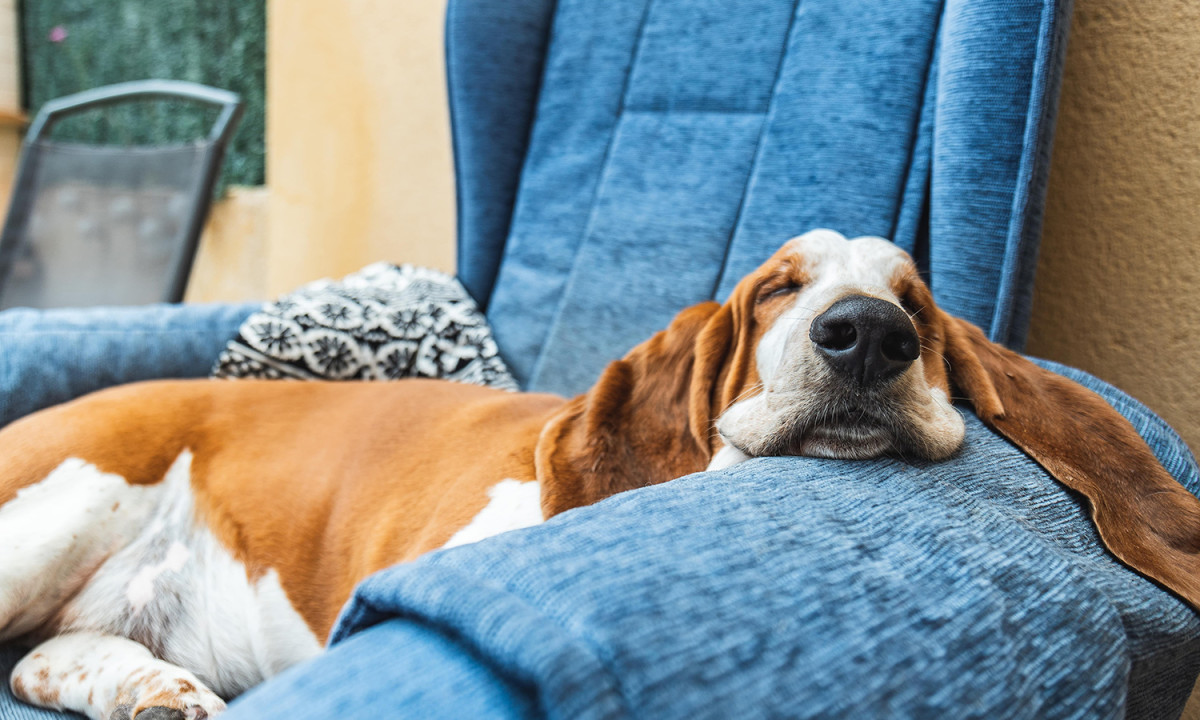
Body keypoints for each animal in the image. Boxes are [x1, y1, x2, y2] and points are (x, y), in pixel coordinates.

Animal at [2, 231, 1200, 720]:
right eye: (778, 289)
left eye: (916, 302)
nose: (869, 332)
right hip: (59, 511)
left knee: (36, 661)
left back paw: (151, 690)